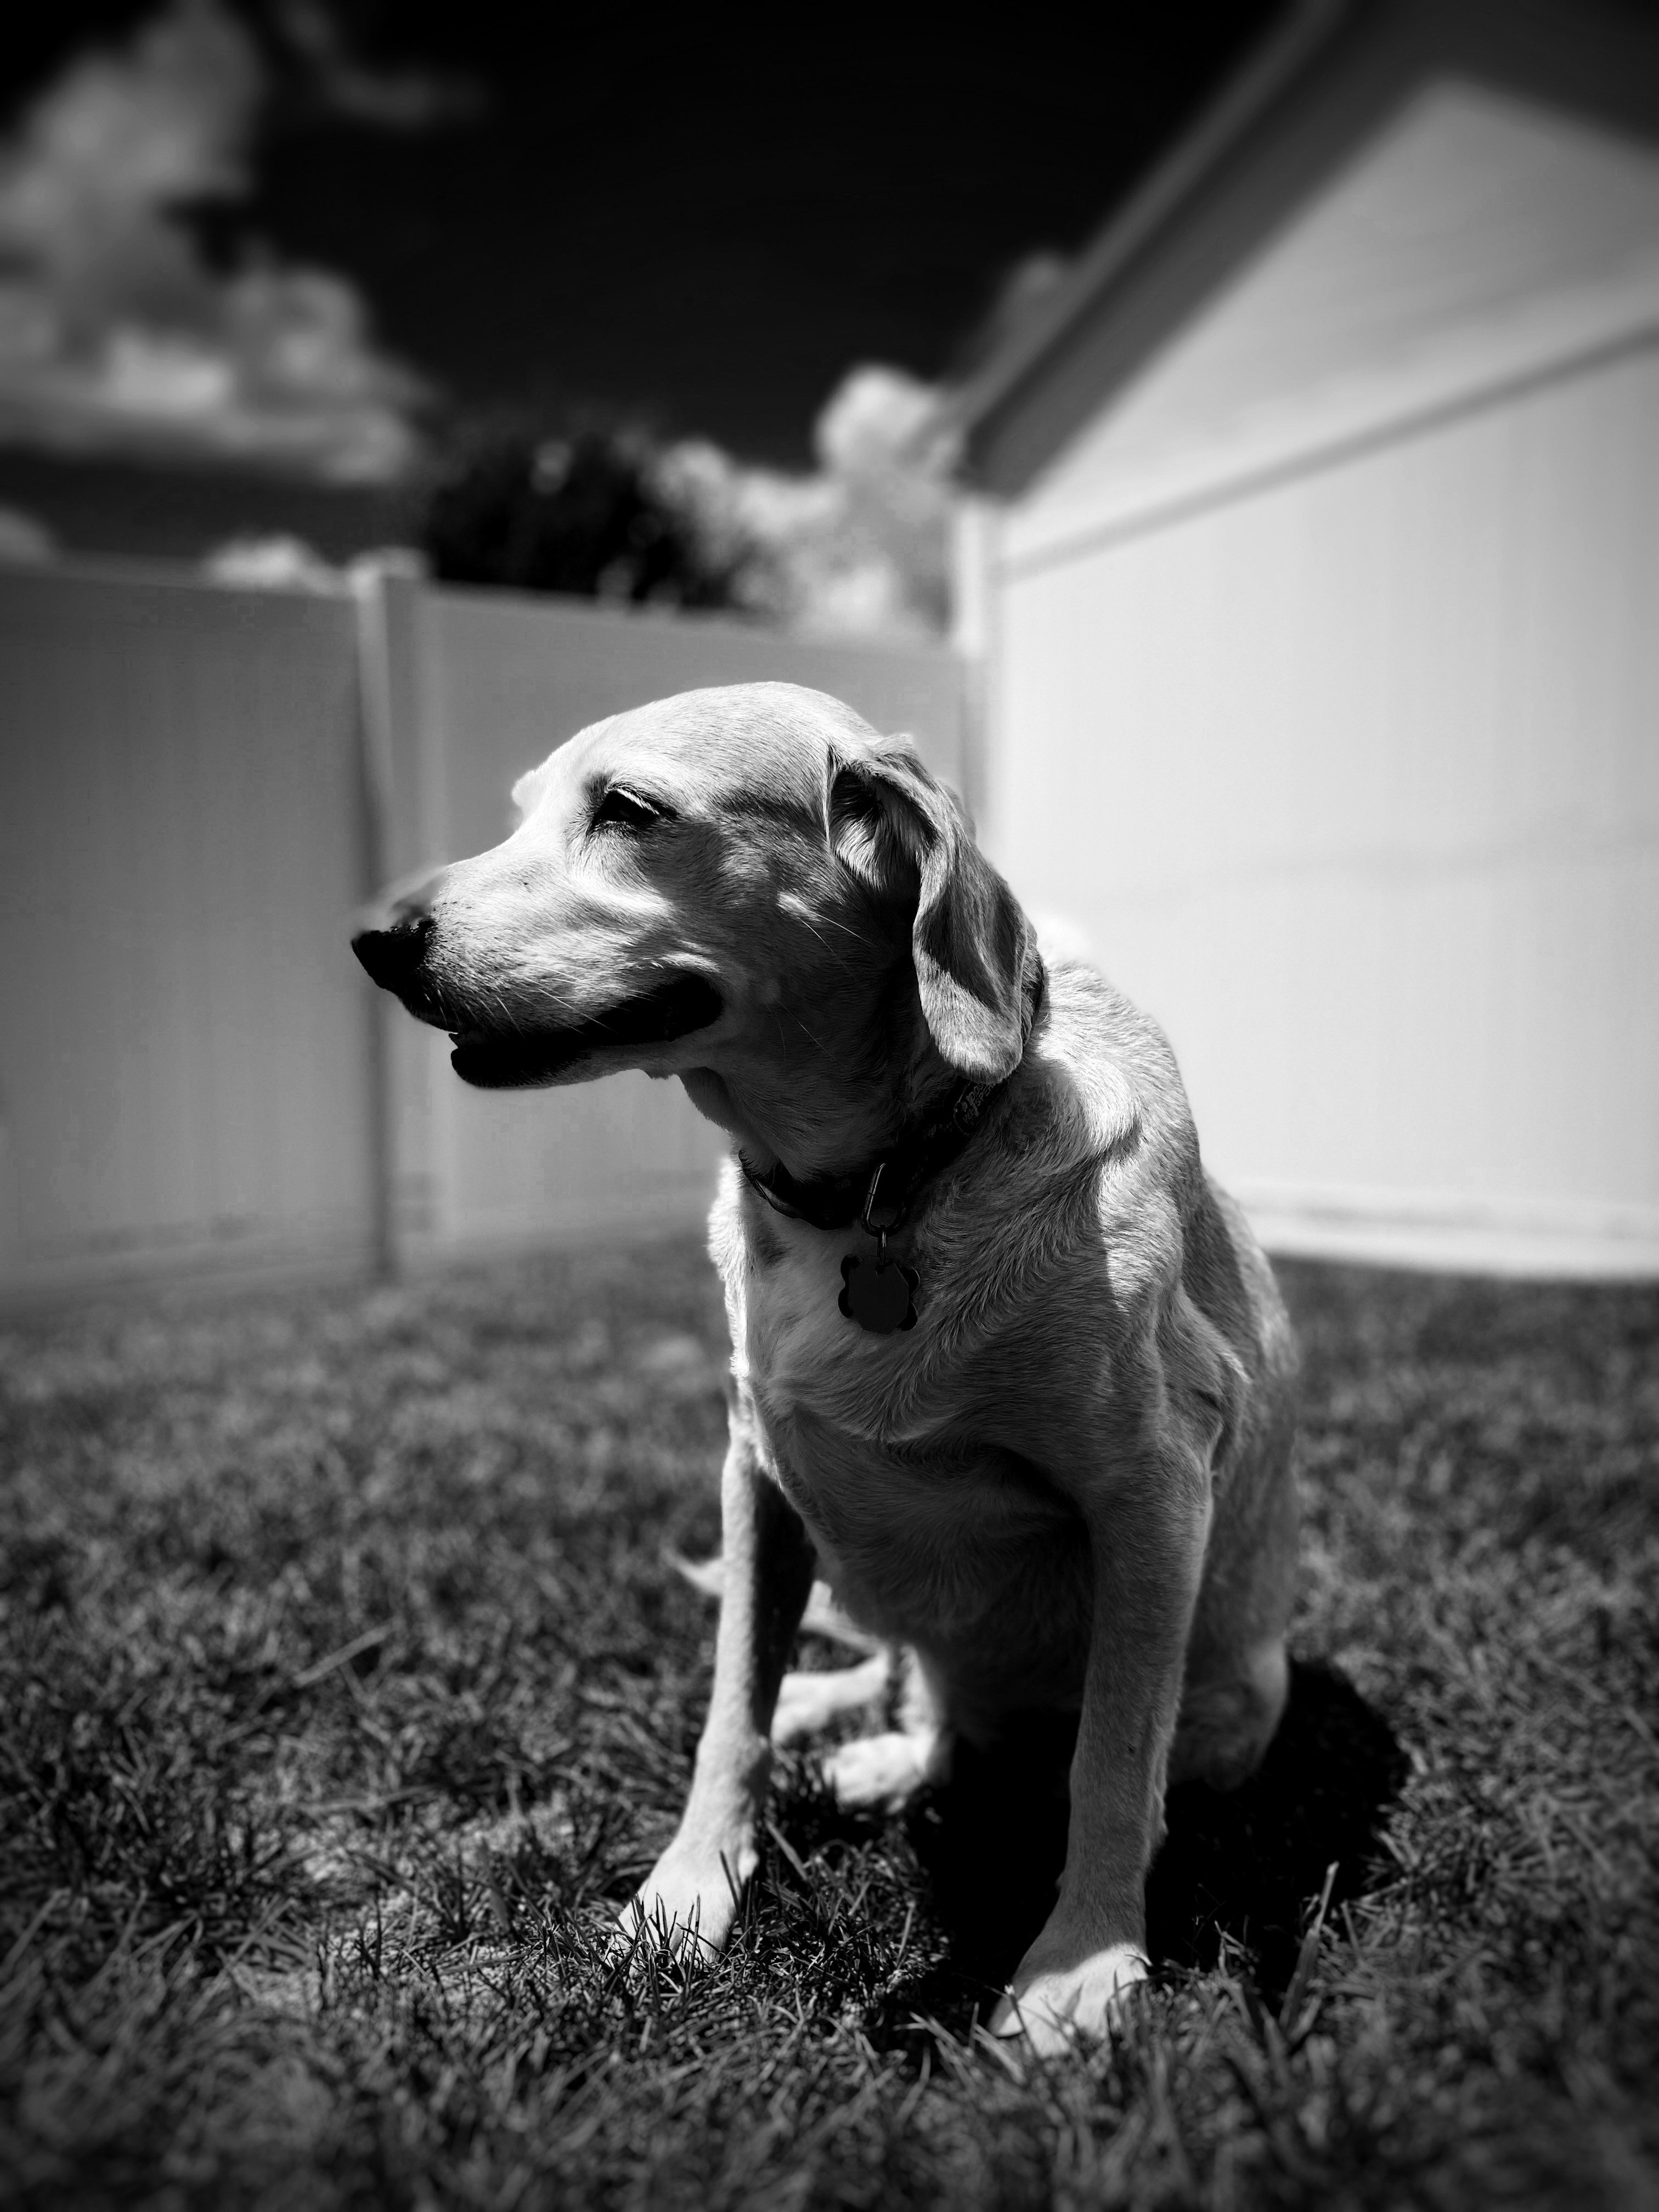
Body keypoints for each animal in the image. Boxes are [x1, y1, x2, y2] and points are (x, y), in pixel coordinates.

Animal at [353, 681, 1298, 2051]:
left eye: (627, 809)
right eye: (523, 809)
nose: (374, 939)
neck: (881, 1187)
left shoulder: (1153, 1494)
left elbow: (1115, 1759)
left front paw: (1081, 1962)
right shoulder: (757, 1476)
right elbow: (730, 1713)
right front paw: (686, 1892)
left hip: (1233, 1706)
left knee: (1018, 1742)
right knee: (922, 1707)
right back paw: (866, 1743)